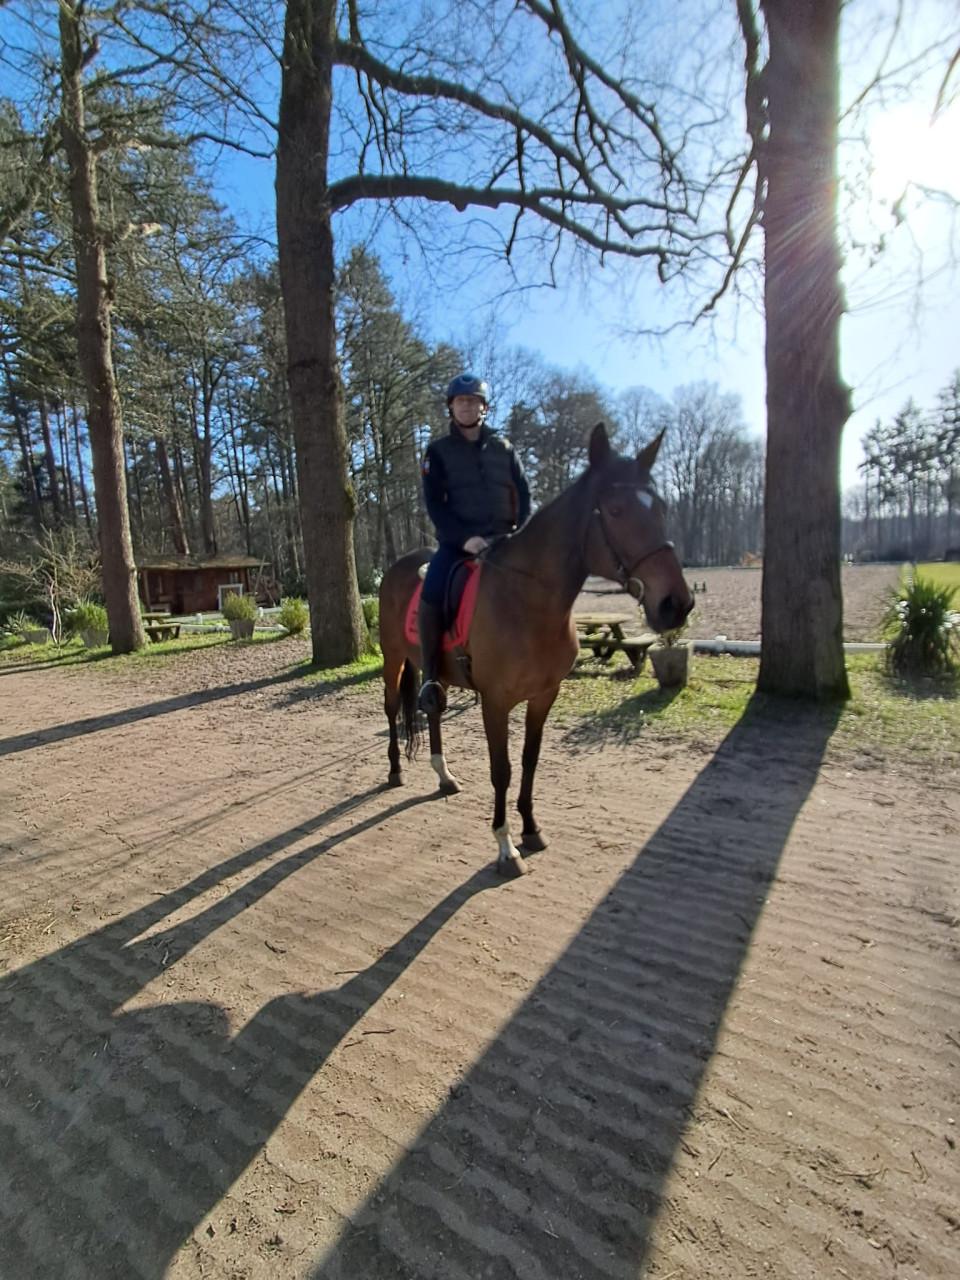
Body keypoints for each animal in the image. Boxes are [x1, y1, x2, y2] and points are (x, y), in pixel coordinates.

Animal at [378, 423, 693, 878]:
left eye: (662, 508)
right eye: (615, 510)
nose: (676, 604)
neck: (527, 599)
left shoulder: (544, 695)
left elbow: (529, 760)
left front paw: (530, 830)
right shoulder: (495, 702)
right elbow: (502, 770)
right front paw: (505, 847)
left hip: (432, 670)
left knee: (432, 710)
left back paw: (444, 776)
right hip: (393, 659)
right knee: (390, 710)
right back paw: (395, 770)